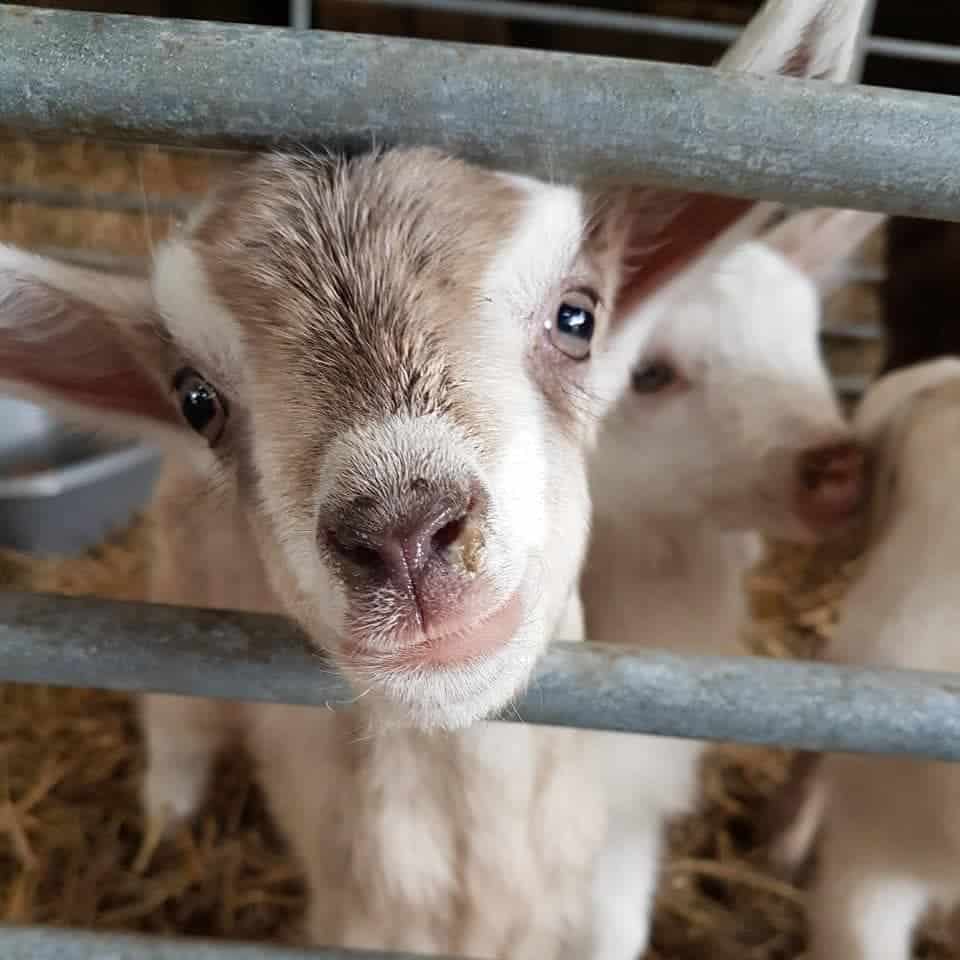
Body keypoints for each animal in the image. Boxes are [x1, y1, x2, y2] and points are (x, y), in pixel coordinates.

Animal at [0, 0, 872, 952]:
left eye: (578, 317)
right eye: (197, 400)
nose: (401, 529)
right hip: (175, 587)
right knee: (176, 724)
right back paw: (165, 823)